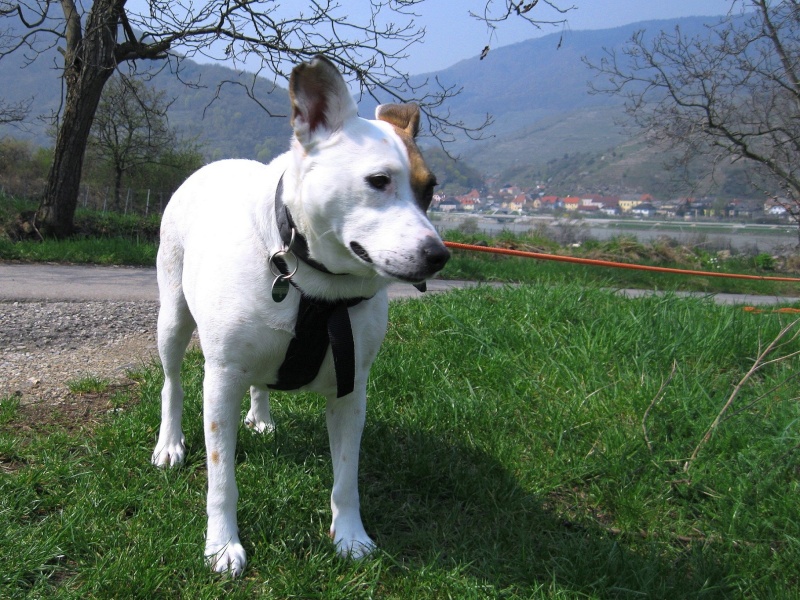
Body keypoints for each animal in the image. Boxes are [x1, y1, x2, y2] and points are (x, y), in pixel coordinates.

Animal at [150, 57, 450, 576]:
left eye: (430, 189)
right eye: (378, 181)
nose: (438, 256)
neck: (316, 285)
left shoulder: (352, 388)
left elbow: (347, 476)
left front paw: (350, 536)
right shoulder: (221, 378)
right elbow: (222, 478)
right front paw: (222, 544)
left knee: (260, 381)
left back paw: (261, 415)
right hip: (172, 316)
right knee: (172, 382)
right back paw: (170, 443)